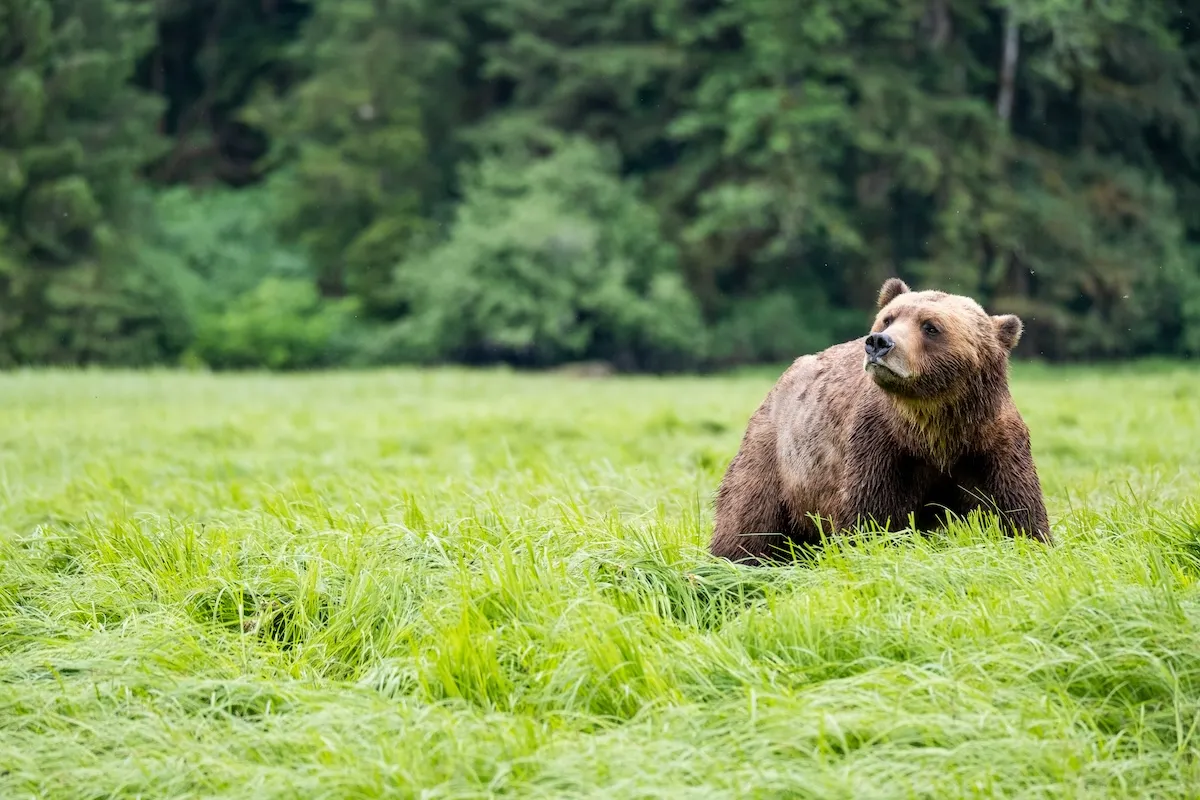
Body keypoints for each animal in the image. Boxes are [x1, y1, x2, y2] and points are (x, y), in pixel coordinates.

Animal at [709, 277, 1050, 564]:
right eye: (888, 318)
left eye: (931, 326)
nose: (879, 342)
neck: (935, 425)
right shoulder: (882, 444)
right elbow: (870, 517)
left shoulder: (990, 444)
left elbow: (1015, 510)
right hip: (779, 458)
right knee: (748, 521)